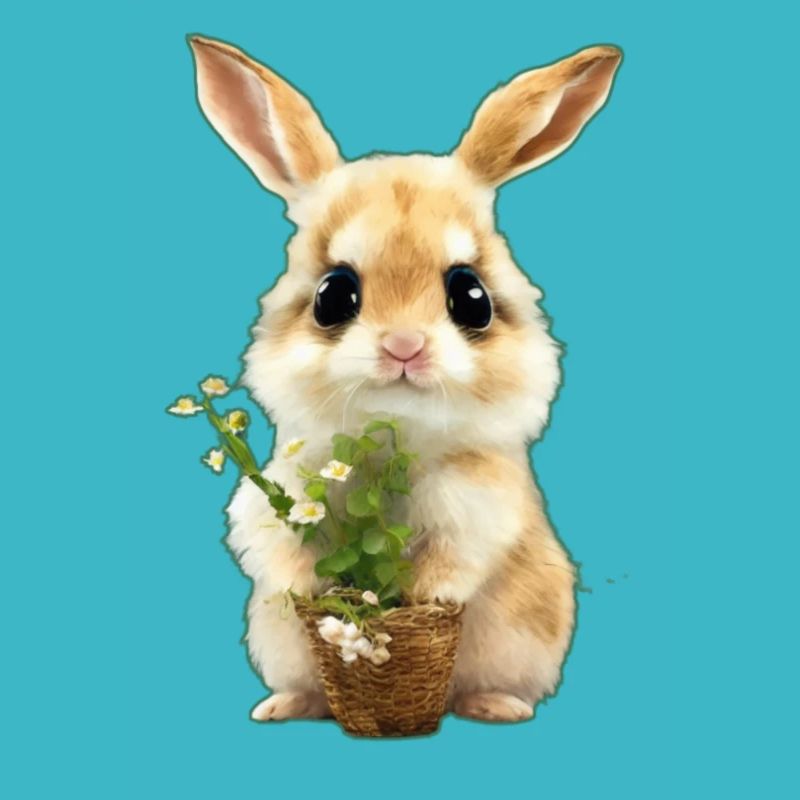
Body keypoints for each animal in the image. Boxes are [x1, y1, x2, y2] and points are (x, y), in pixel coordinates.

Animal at [189, 35, 621, 723]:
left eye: (471, 297)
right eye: (332, 295)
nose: (404, 347)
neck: (389, 438)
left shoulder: (477, 508)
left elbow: (448, 569)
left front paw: (412, 603)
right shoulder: (273, 499)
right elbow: (283, 555)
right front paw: (324, 593)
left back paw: (499, 707)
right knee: (306, 687)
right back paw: (281, 706)